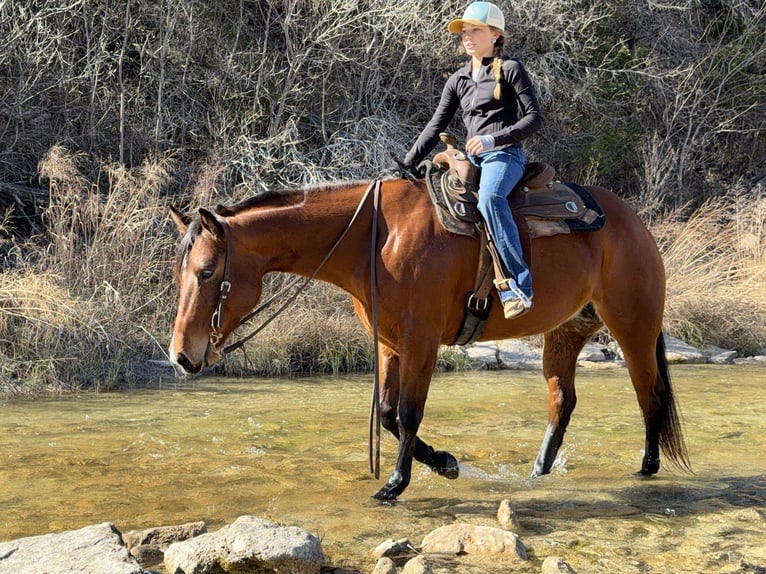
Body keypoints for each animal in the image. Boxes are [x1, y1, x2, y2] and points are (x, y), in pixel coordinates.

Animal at [168, 176, 690, 501]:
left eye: (208, 271)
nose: (181, 357)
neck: (374, 240)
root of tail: (633, 222)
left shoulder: (421, 343)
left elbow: (407, 413)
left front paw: (395, 485)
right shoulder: (389, 345)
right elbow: (386, 415)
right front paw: (444, 462)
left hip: (633, 326)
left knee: (649, 392)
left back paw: (647, 468)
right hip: (566, 332)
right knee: (562, 400)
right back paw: (538, 472)